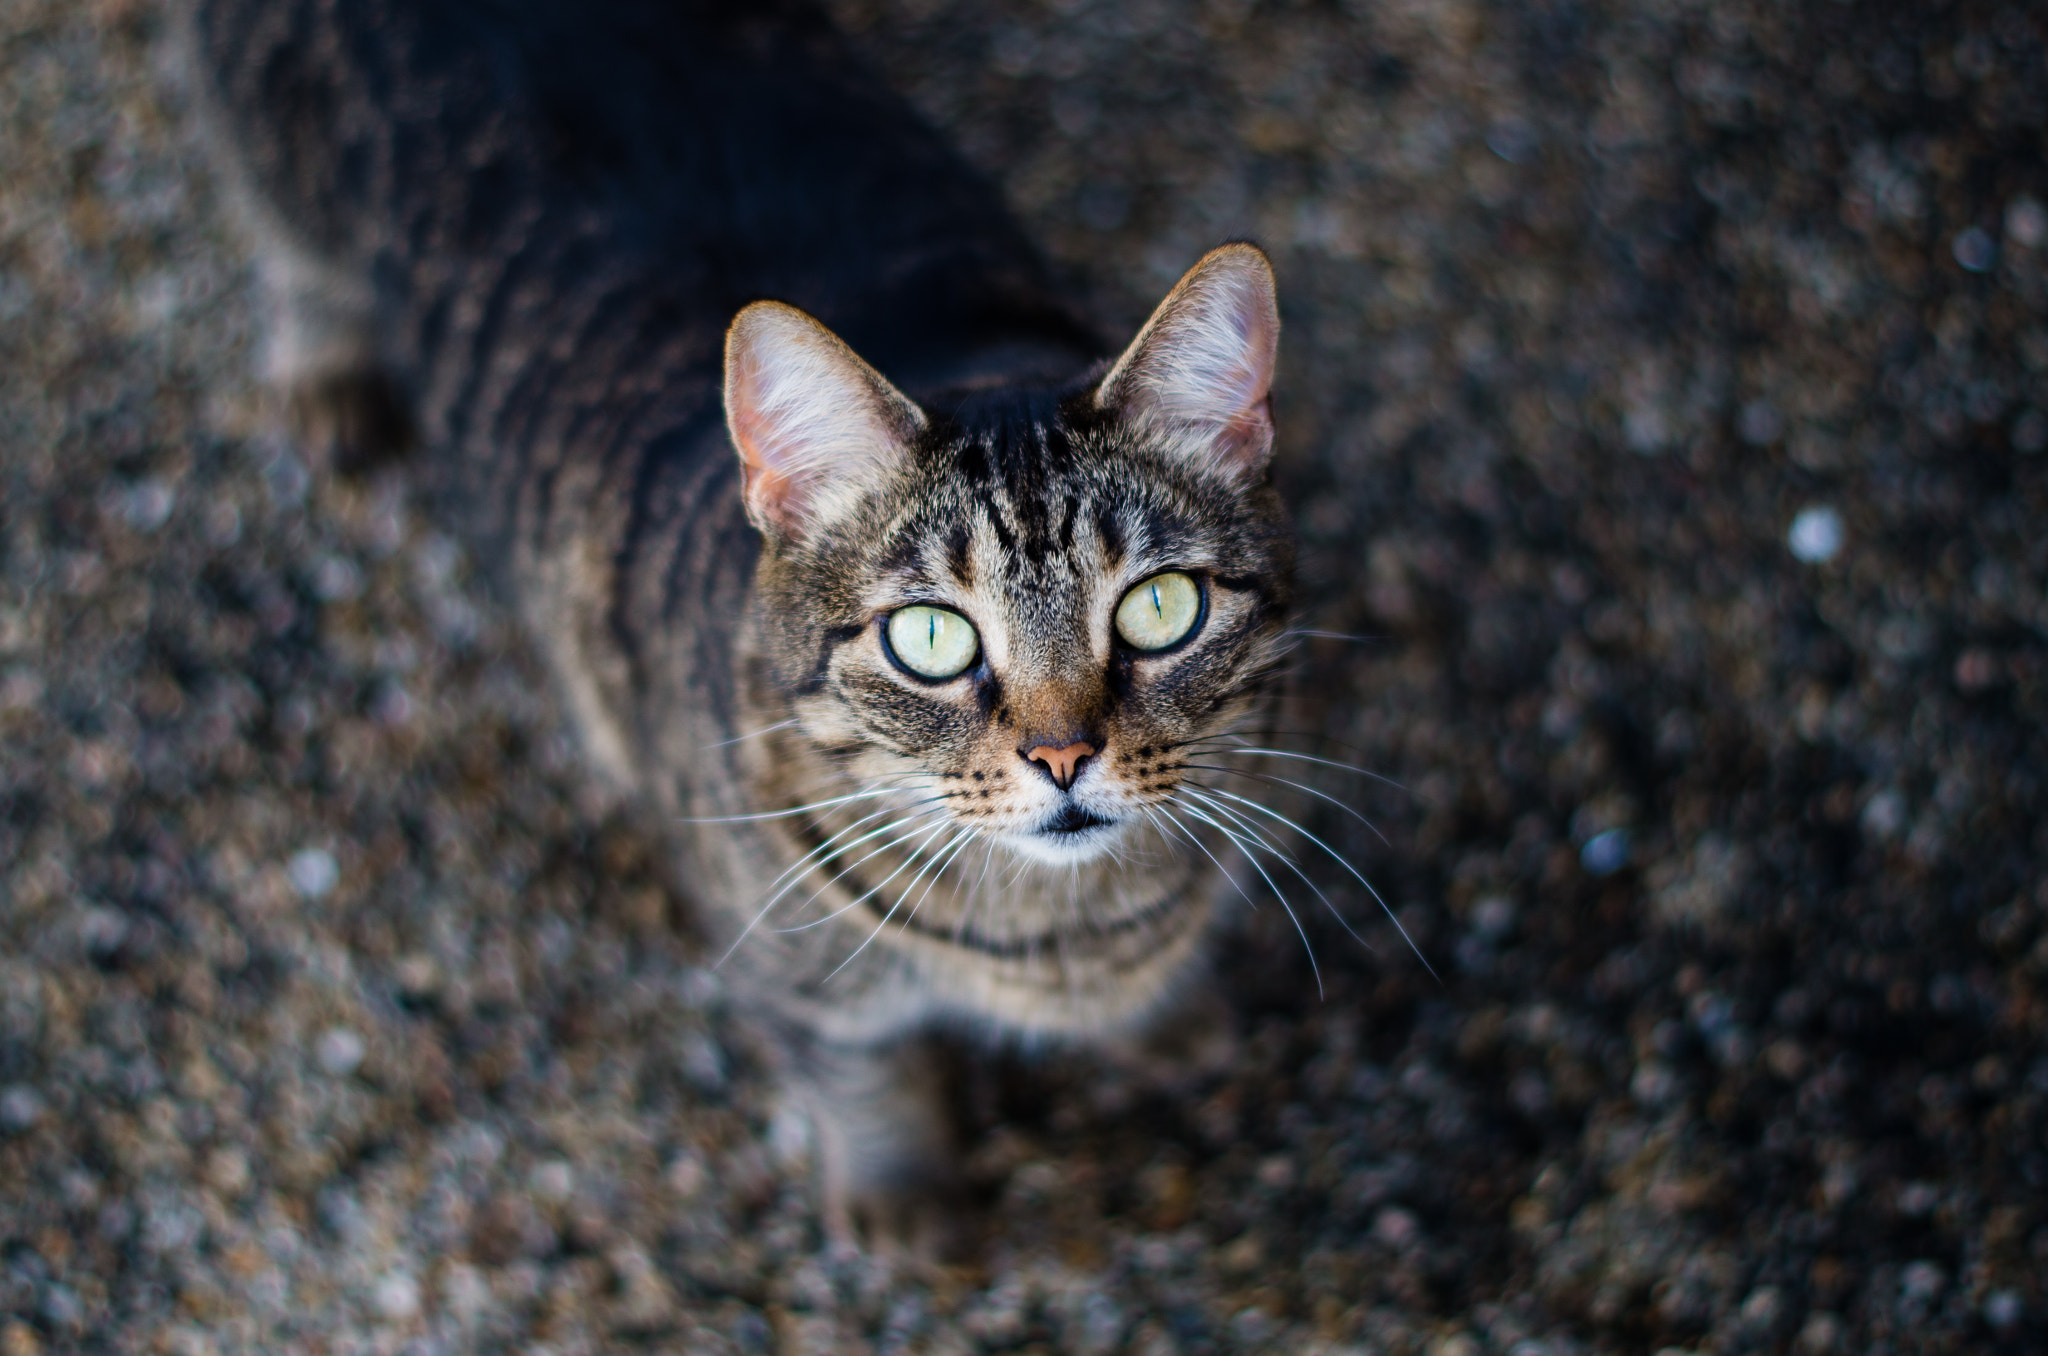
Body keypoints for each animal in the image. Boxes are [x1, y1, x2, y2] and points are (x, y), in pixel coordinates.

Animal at [184, 0, 1286, 1253]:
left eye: (1159, 608)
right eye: (930, 639)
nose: (1063, 756)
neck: (1065, 935)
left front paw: (1163, 1021)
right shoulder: (781, 967)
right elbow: (855, 1071)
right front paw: (901, 1191)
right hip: (267, 149)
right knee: (286, 250)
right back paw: (324, 371)